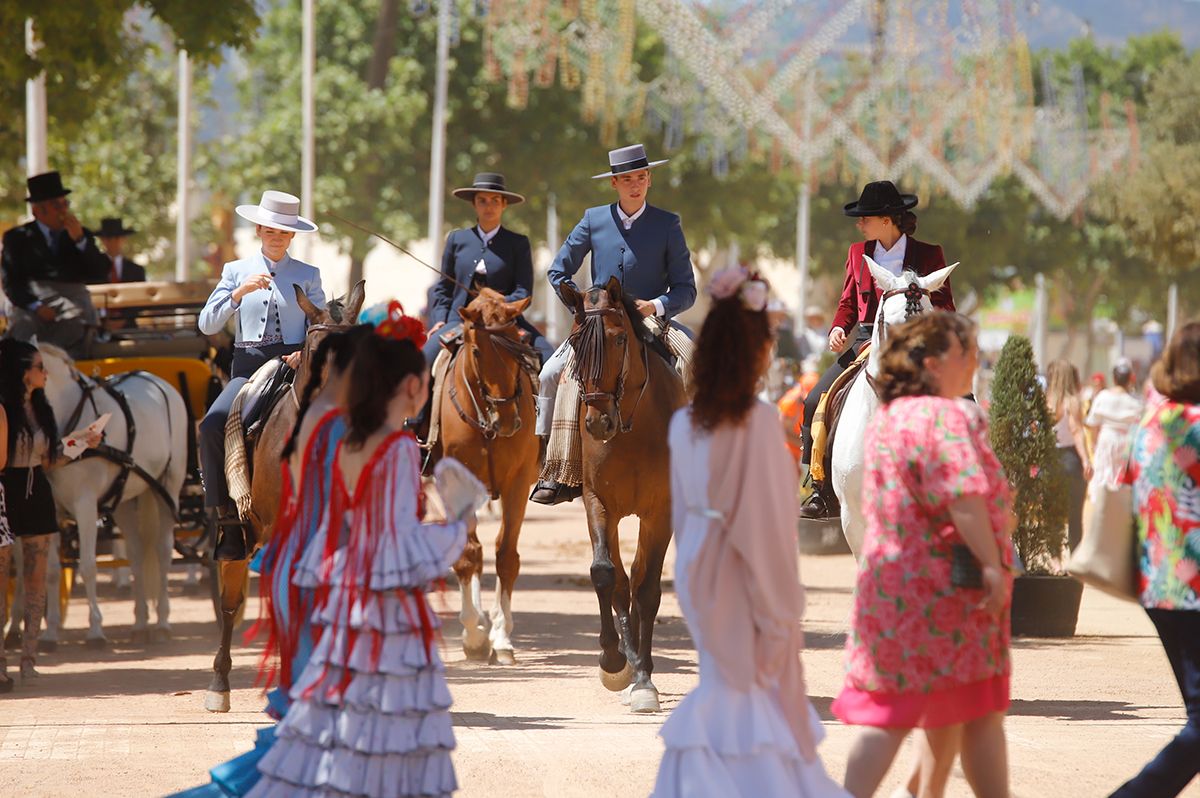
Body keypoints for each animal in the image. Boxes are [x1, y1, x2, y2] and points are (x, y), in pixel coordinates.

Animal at [35, 345, 187, 643]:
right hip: (125, 499)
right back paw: (140, 622)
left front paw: (95, 630)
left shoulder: (85, 504)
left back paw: (163, 620)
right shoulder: (53, 511)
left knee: (163, 553)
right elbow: (51, 572)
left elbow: (88, 566)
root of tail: (155, 379)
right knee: (137, 554)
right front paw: (50, 633)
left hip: (168, 488)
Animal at [436, 289, 540, 662]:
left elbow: (506, 555)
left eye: (519, 345)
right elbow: (468, 554)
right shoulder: (455, 483)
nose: (507, 419)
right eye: (478, 351)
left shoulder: (517, 484)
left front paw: (501, 636)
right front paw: (473, 635)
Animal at [554, 277, 681, 710]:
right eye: (575, 342)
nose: (597, 422)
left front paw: (643, 681)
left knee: (641, 579)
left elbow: (647, 589)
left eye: (620, 338)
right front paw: (613, 661)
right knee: (622, 580)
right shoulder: (599, 504)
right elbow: (606, 575)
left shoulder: (661, 511)